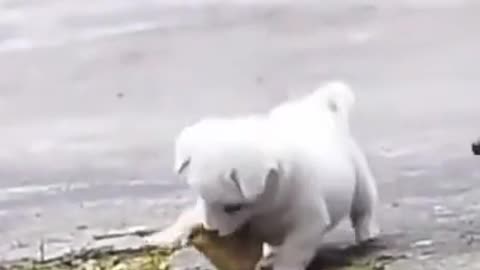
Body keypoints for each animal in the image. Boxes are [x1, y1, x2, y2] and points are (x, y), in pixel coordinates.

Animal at [149, 81, 378, 270]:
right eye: (202, 198)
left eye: (233, 207)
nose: (210, 229)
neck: (268, 203)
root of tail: (318, 107)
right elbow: (187, 217)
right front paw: (164, 236)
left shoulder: (309, 222)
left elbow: (294, 252)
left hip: (361, 182)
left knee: (362, 209)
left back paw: (365, 233)